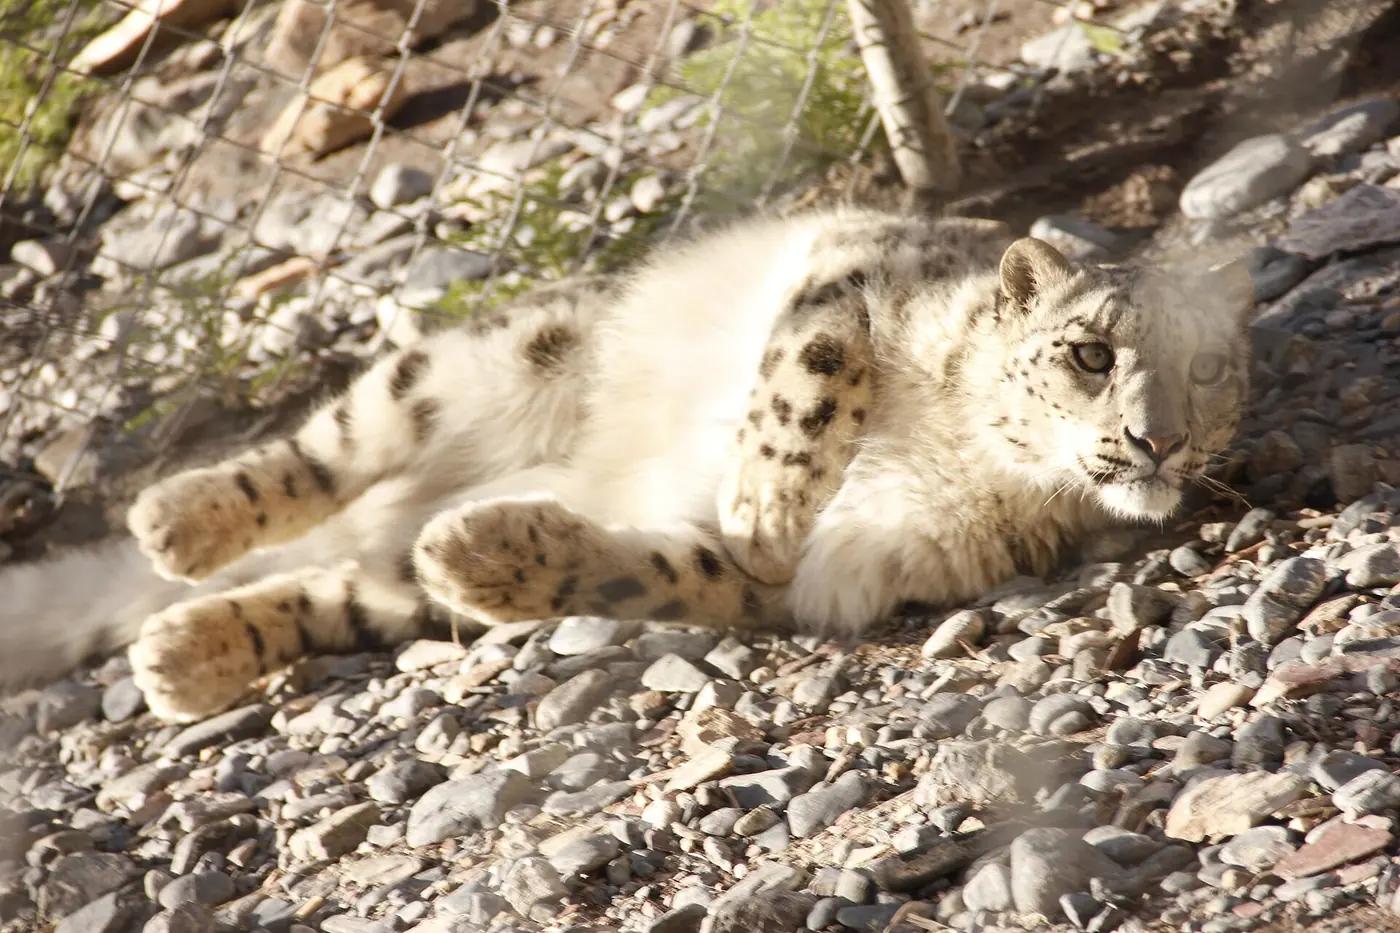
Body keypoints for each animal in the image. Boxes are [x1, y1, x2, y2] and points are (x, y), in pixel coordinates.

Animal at [0, 208, 1254, 722]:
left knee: (343, 589)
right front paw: (762, 502)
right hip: (482, 364)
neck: (965, 452)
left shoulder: (841, 574)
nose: (1156, 439)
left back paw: (189, 650)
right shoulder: (863, 264)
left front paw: (497, 555)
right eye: (1088, 353)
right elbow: (811, 370)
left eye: (1205, 369)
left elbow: (664, 573)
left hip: (385, 579)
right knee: (326, 450)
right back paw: (178, 522)